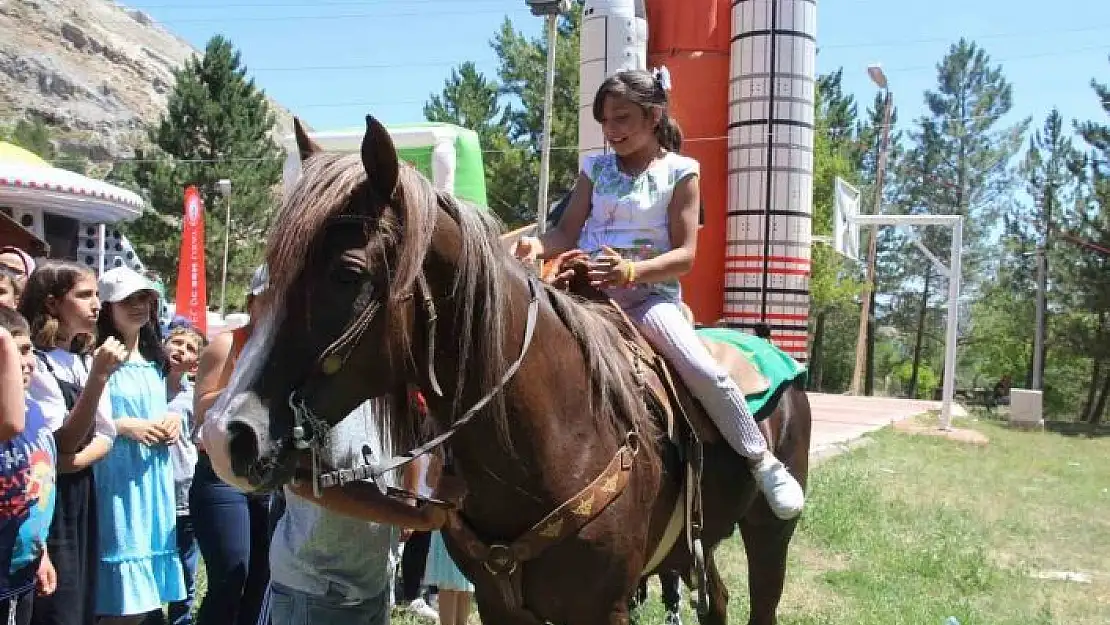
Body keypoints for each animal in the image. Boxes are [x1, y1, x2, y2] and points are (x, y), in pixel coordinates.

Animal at [202, 117, 808, 625]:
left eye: (348, 274)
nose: (225, 437)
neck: (555, 440)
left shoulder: (604, 609)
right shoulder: (500, 605)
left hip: (769, 536)